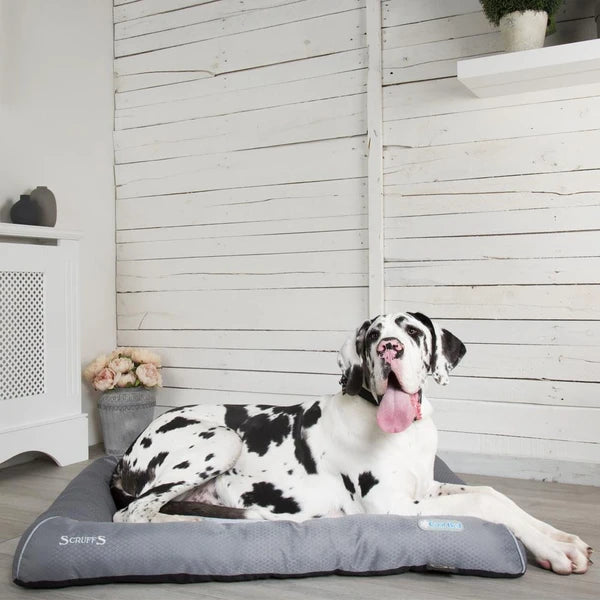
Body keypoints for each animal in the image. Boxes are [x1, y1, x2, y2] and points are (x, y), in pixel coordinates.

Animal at [111, 312, 592, 576]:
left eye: (414, 332)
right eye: (372, 335)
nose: (390, 347)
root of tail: (125, 456)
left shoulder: (426, 488)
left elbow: (494, 495)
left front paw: (561, 540)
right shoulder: (392, 505)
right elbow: (484, 504)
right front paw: (553, 548)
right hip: (222, 439)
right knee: (130, 515)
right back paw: (194, 525)